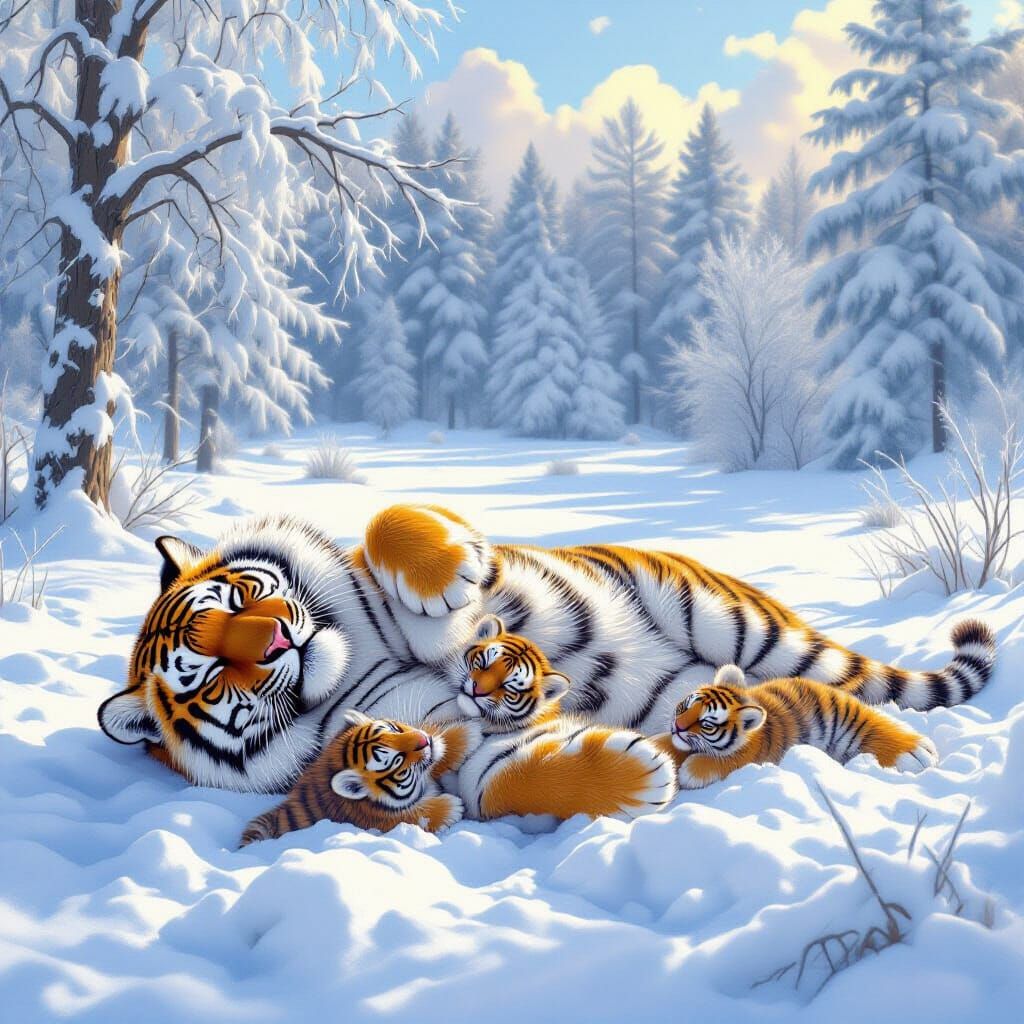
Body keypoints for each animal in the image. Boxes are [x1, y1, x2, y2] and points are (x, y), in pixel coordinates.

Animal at [664, 657, 975, 789]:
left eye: (707, 724)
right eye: (686, 705)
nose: (677, 726)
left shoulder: (752, 755)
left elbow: (722, 760)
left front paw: (689, 771)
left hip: (847, 718)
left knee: (873, 724)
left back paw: (915, 753)